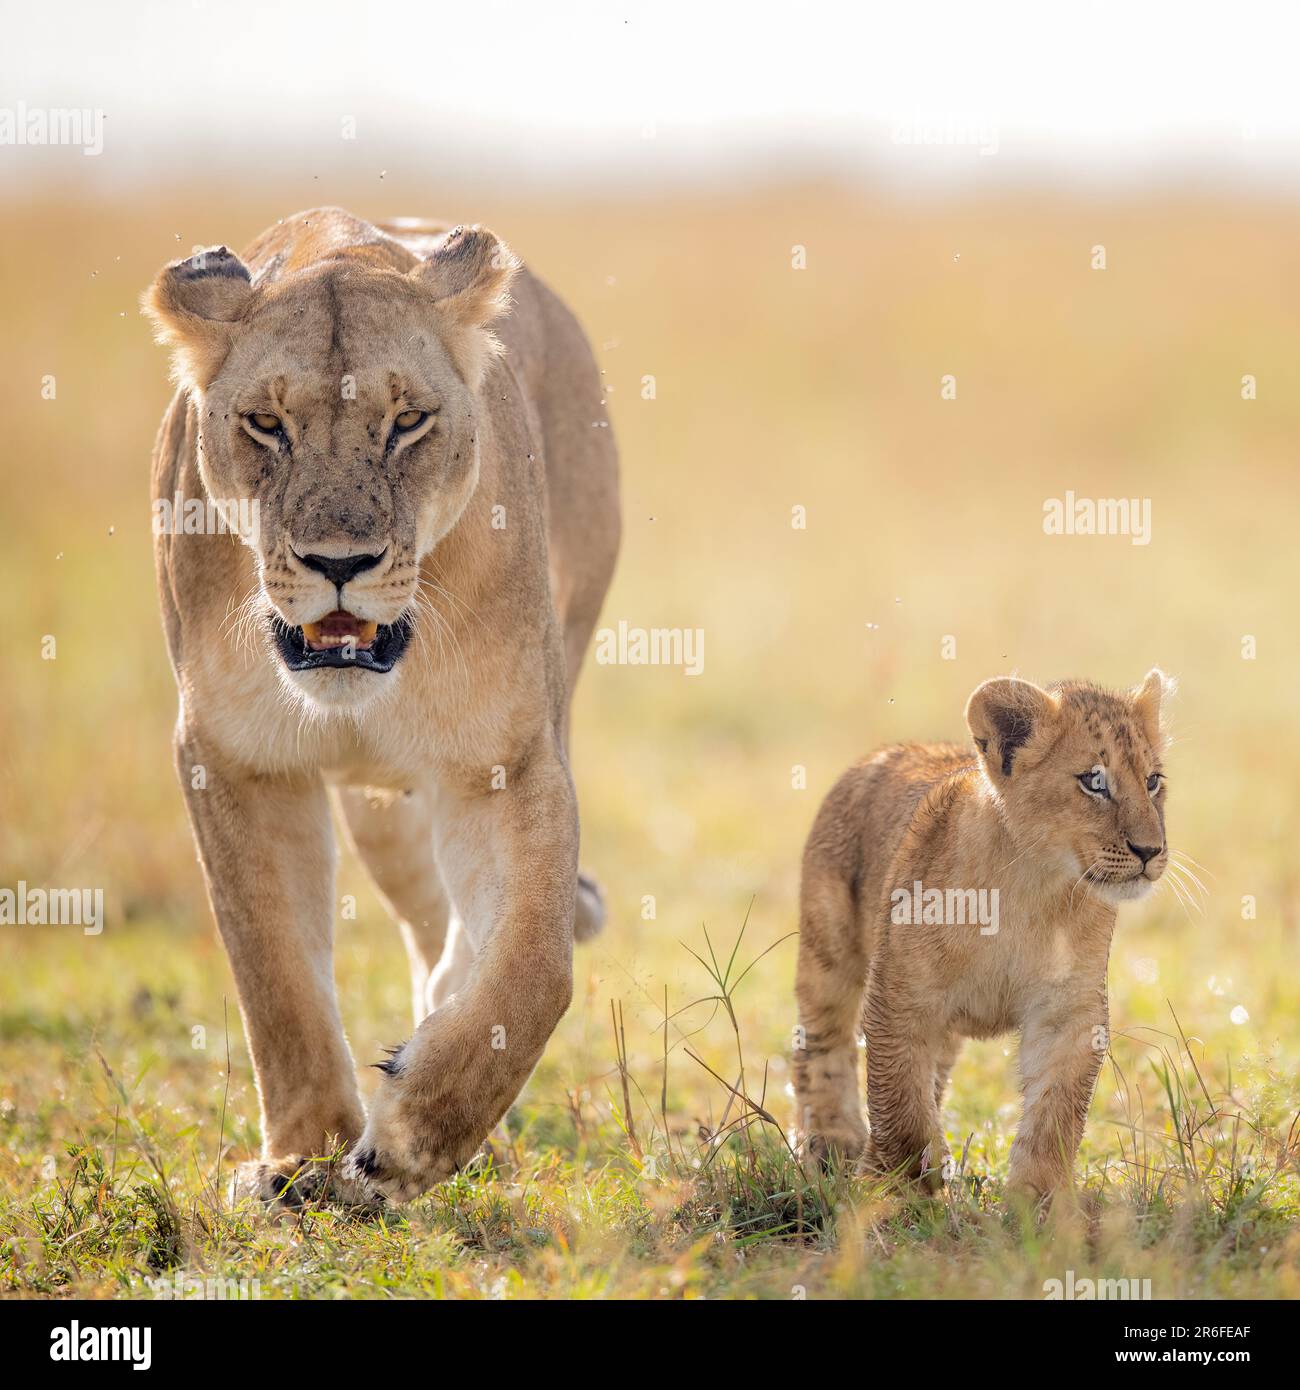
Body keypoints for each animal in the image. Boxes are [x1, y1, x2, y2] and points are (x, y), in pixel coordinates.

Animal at [143, 207, 619, 1204]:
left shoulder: (506, 759)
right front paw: (303, 1160)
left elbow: (534, 968)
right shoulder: (232, 759)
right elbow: (275, 974)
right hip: (380, 812)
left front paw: (412, 1137)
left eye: (408, 421)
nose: (338, 564)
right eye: (266, 423)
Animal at [793, 670, 1173, 1203]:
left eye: (1153, 781)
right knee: (822, 1043)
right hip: (829, 949)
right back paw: (832, 1142)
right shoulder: (900, 995)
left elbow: (1057, 1111)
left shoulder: (1069, 1010)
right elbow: (897, 1098)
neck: (1032, 887)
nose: (1150, 850)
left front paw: (1042, 1201)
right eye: (1094, 782)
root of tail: (888, 750)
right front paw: (896, 1187)